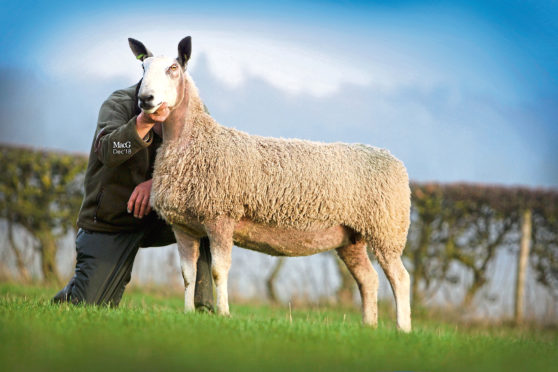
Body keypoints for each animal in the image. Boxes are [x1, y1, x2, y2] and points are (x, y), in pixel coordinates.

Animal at [129, 35, 414, 332]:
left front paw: (224, 314)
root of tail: (393, 159)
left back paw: (402, 329)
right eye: (143, 67)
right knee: (368, 279)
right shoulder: (183, 225)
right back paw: (369, 327)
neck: (192, 141)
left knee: (400, 279)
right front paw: (187, 314)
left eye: (173, 68)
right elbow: (188, 274)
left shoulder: (221, 216)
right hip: (351, 236)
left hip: (387, 229)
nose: (145, 99)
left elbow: (219, 271)